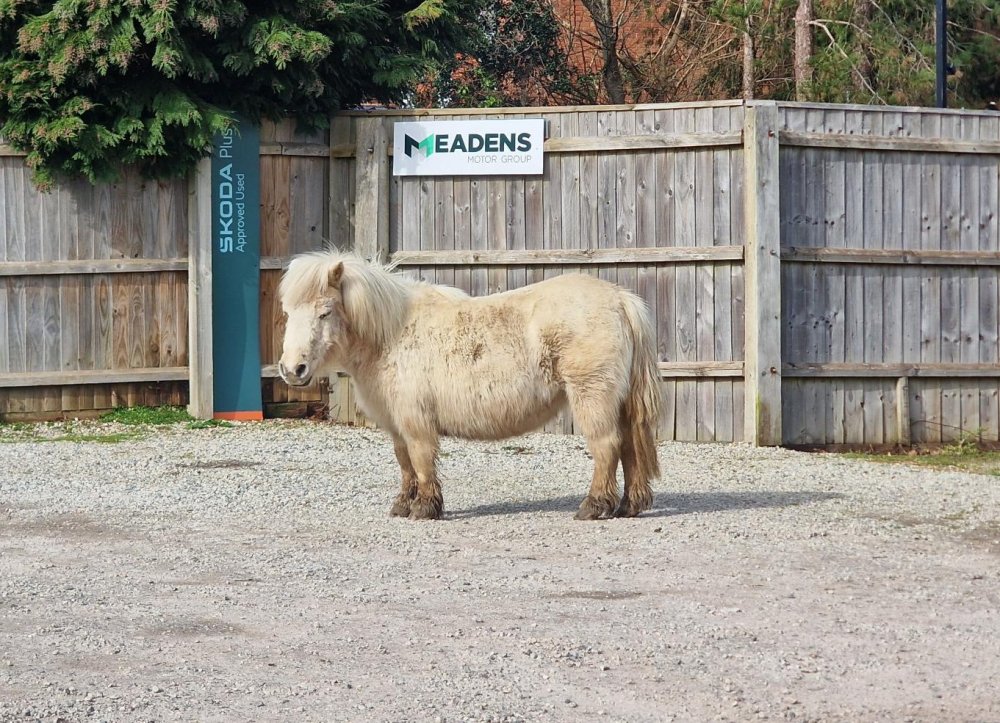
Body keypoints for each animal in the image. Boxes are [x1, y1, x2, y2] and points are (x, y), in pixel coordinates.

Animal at [277, 250, 660, 521]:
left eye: (325, 312)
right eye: (287, 311)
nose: (292, 369)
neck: (392, 334)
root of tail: (620, 299)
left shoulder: (416, 422)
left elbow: (421, 460)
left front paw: (425, 508)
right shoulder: (397, 424)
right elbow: (405, 463)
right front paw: (403, 504)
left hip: (592, 397)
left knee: (607, 446)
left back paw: (594, 505)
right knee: (629, 447)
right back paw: (629, 505)